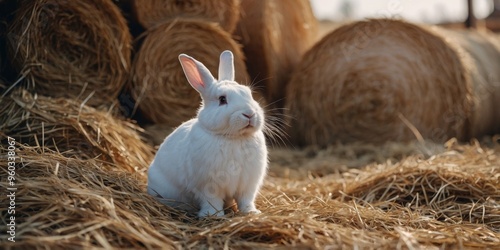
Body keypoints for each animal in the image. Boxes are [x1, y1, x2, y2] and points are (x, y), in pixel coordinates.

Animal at [146, 49, 268, 217]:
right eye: (222, 99)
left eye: (249, 94)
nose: (249, 114)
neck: (233, 138)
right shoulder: (208, 185)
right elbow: (212, 201)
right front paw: (213, 215)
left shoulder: (248, 185)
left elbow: (246, 200)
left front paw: (251, 213)